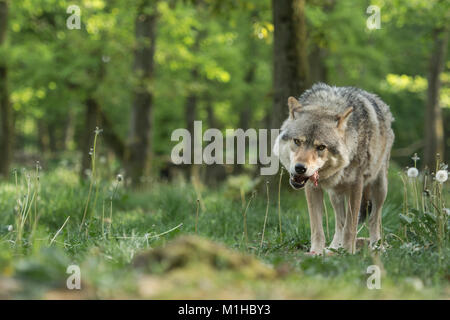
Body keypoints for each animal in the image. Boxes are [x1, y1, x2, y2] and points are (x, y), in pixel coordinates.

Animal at [272, 84, 392, 254]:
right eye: (297, 141)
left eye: (321, 147)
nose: (300, 168)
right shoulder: (312, 188)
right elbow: (317, 228)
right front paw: (316, 252)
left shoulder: (356, 186)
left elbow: (351, 227)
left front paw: (348, 252)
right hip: (335, 195)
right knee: (340, 223)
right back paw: (334, 248)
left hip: (380, 188)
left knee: (374, 219)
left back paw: (376, 246)